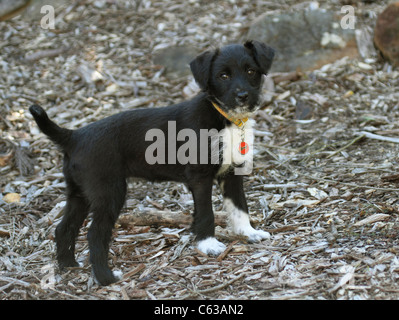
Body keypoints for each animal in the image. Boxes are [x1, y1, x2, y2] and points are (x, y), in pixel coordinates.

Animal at [29, 39, 276, 284]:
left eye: (251, 71)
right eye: (223, 75)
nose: (243, 96)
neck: (226, 119)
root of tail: (73, 136)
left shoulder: (232, 174)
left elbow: (239, 206)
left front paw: (248, 232)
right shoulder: (200, 177)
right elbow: (207, 213)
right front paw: (208, 245)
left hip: (80, 193)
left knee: (63, 228)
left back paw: (68, 265)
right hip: (109, 193)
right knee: (94, 234)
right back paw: (106, 277)